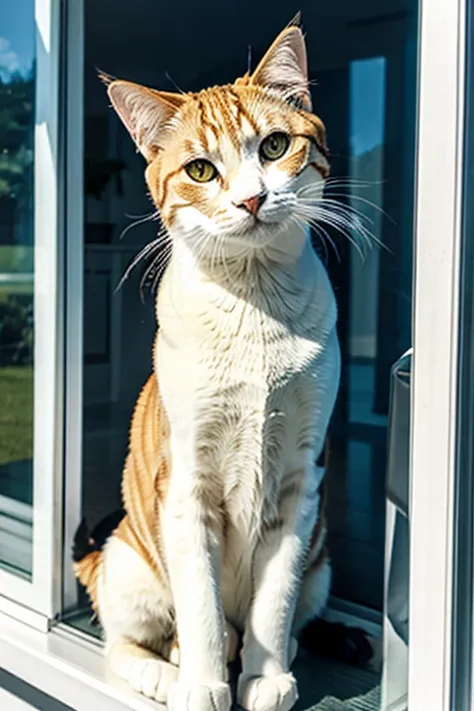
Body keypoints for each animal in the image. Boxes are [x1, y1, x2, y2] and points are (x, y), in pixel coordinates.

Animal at [73, 15, 340, 711]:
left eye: (275, 146)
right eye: (199, 168)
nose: (250, 200)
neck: (255, 312)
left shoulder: (301, 481)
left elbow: (275, 599)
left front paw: (266, 676)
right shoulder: (186, 487)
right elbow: (199, 608)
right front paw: (202, 681)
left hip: (323, 569)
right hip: (128, 562)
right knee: (122, 639)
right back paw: (163, 670)